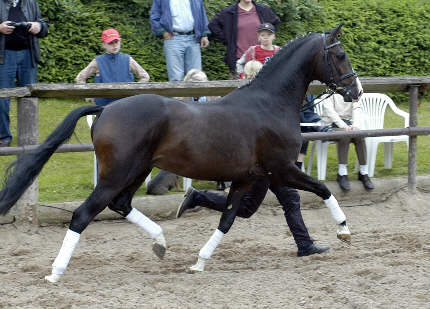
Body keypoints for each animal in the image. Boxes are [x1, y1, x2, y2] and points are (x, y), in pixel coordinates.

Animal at [0, 23, 362, 280]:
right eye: (340, 55)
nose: (355, 91)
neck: (269, 104)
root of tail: (105, 109)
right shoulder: (283, 168)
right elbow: (322, 188)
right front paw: (344, 231)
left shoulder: (248, 178)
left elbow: (228, 218)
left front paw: (199, 263)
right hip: (117, 173)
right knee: (82, 214)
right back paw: (55, 273)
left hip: (138, 170)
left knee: (121, 205)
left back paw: (160, 243)